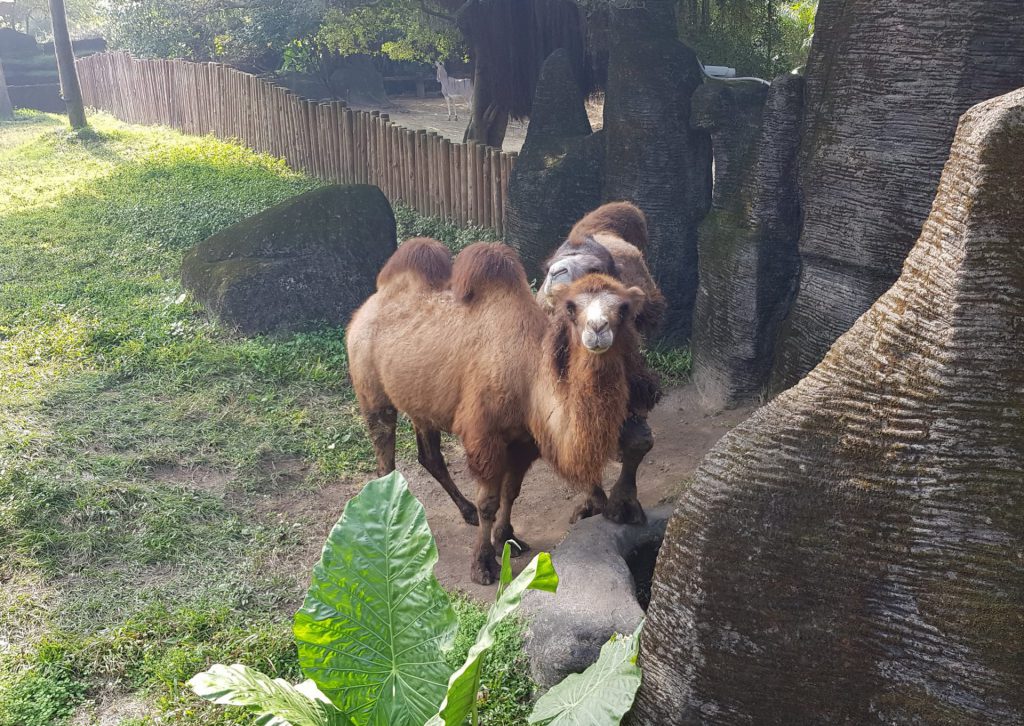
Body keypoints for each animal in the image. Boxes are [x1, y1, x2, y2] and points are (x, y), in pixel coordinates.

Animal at [348, 237, 643, 581]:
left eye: (623, 308)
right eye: (571, 308)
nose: (597, 329)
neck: (527, 376)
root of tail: (367, 306)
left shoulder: (524, 440)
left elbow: (511, 491)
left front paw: (508, 537)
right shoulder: (484, 435)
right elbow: (489, 501)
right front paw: (483, 563)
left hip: (421, 398)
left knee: (430, 455)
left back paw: (464, 511)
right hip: (371, 389)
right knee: (385, 457)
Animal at [532, 200, 667, 524]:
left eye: (593, 269)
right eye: (549, 266)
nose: (557, 272)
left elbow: (639, 438)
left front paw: (622, 506)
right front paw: (591, 506)